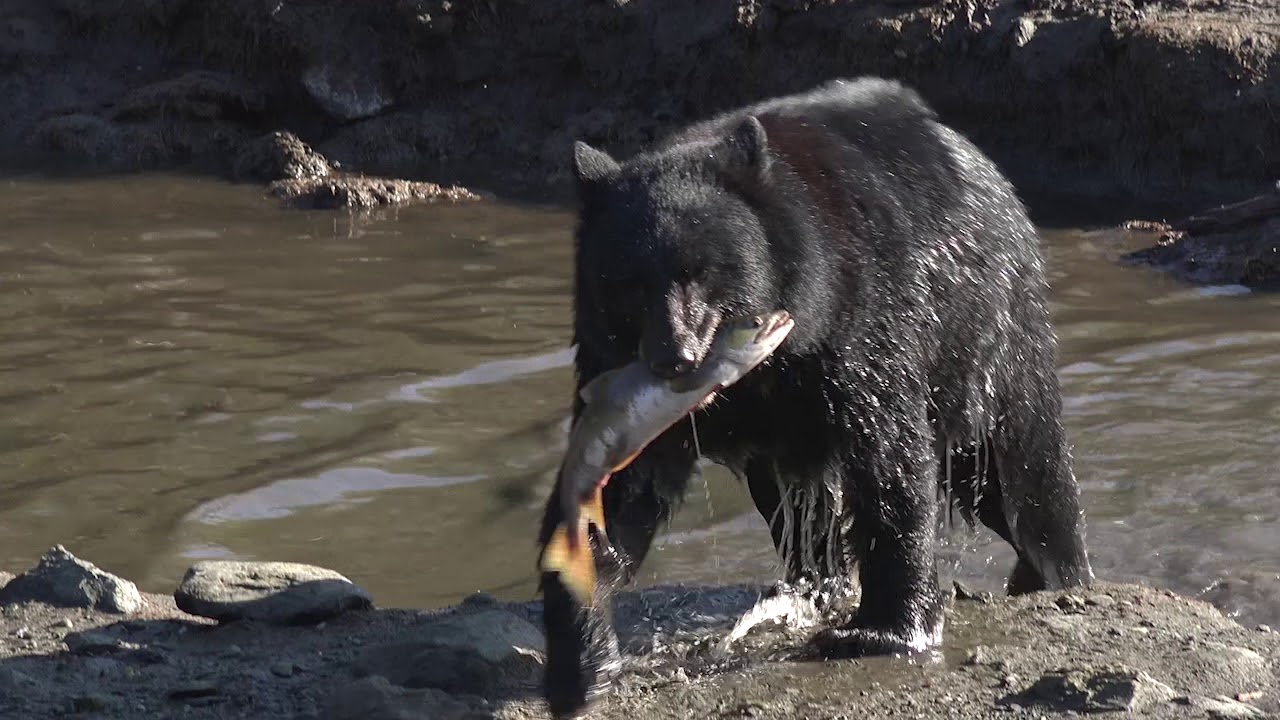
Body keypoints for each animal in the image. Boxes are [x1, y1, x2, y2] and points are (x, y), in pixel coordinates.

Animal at [535, 76, 1095, 719]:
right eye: (628, 283)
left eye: (702, 270)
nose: (675, 359)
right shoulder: (619, 376)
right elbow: (626, 481)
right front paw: (581, 661)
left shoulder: (861, 316)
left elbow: (889, 451)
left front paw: (884, 630)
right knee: (799, 506)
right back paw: (818, 584)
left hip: (985, 326)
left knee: (1021, 466)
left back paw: (1056, 575)